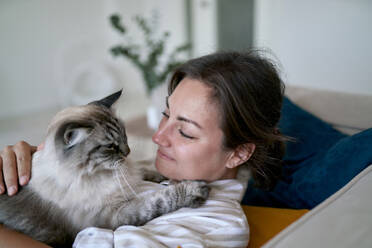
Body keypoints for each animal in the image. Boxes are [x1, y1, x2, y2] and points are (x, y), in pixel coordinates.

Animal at [0, 90, 209, 247]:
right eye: (110, 146)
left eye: (125, 135)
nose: (128, 152)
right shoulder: (113, 217)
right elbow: (159, 199)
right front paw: (193, 188)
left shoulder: (127, 173)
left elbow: (143, 169)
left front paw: (165, 175)